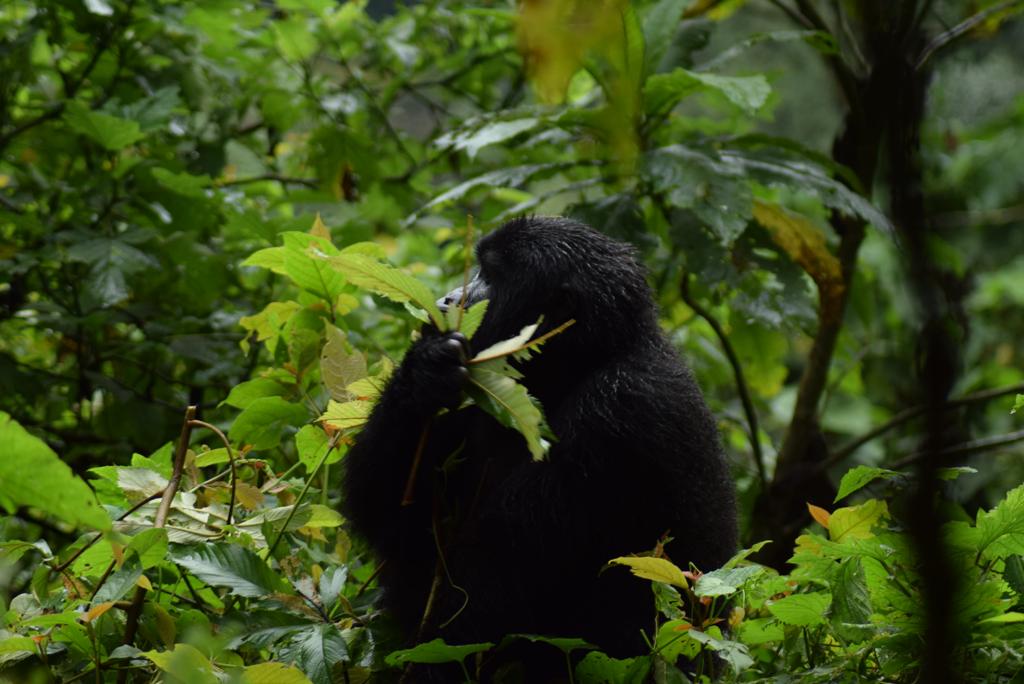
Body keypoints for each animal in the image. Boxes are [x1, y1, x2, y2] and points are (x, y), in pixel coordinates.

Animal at [342, 216, 737, 675]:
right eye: (478, 270)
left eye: (491, 276)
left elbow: (490, 591)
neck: (578, 363)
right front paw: (422, 375)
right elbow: (394, 523)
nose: (448, 298)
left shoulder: (621, 406)